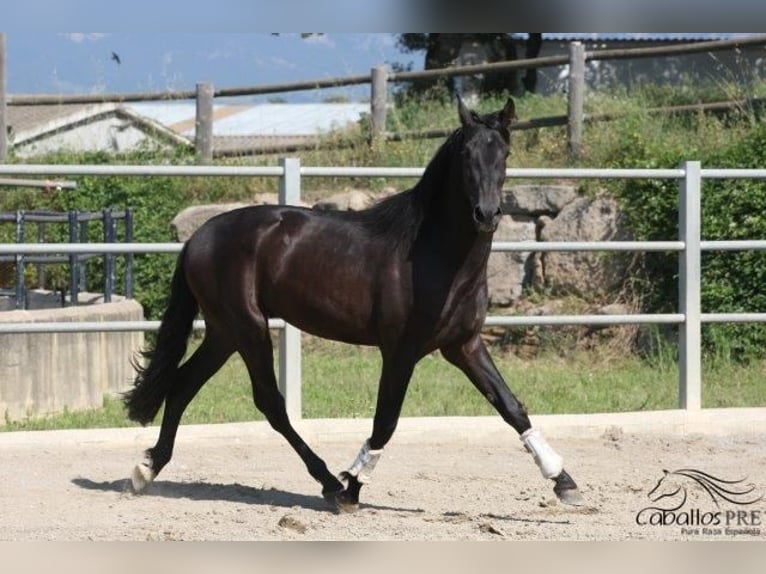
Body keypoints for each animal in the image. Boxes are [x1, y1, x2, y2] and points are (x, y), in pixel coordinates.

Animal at [123, 98, 584, 512]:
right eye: (466, 154)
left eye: (504, 152)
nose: (486, 214)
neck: (432, 256)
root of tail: (197, 238)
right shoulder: (401, 351)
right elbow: (385, 421)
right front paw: (353, 487)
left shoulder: (464, 346)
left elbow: (511, 407)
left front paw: (565, 482)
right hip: (248, 327)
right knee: (270, 403)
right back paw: (328, 483)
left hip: (223, 332)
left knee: (183, 384)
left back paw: (147, 468)